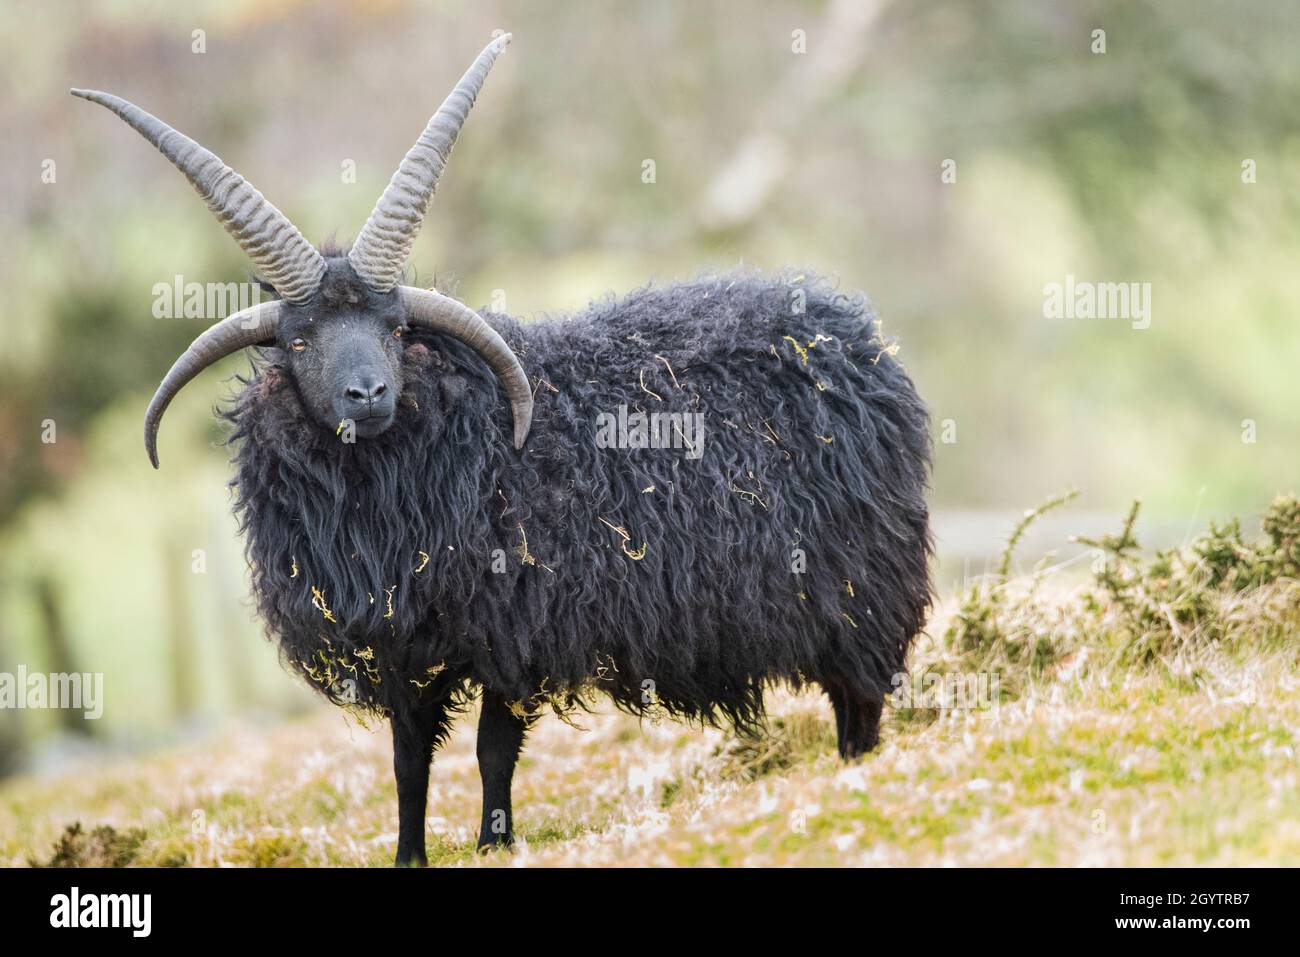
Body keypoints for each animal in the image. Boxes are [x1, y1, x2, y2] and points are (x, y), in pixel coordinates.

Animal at [75, 34, 932, 866]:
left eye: (396, 329)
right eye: (298, 338)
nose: (367, 394)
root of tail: (857, 336)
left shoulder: (513, 628)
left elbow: (492, 749)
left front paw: (494, 841)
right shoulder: (403, 642)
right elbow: (407, 761)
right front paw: (410, 854)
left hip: (858, 588)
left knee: (861, 696)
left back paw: (859, 768)